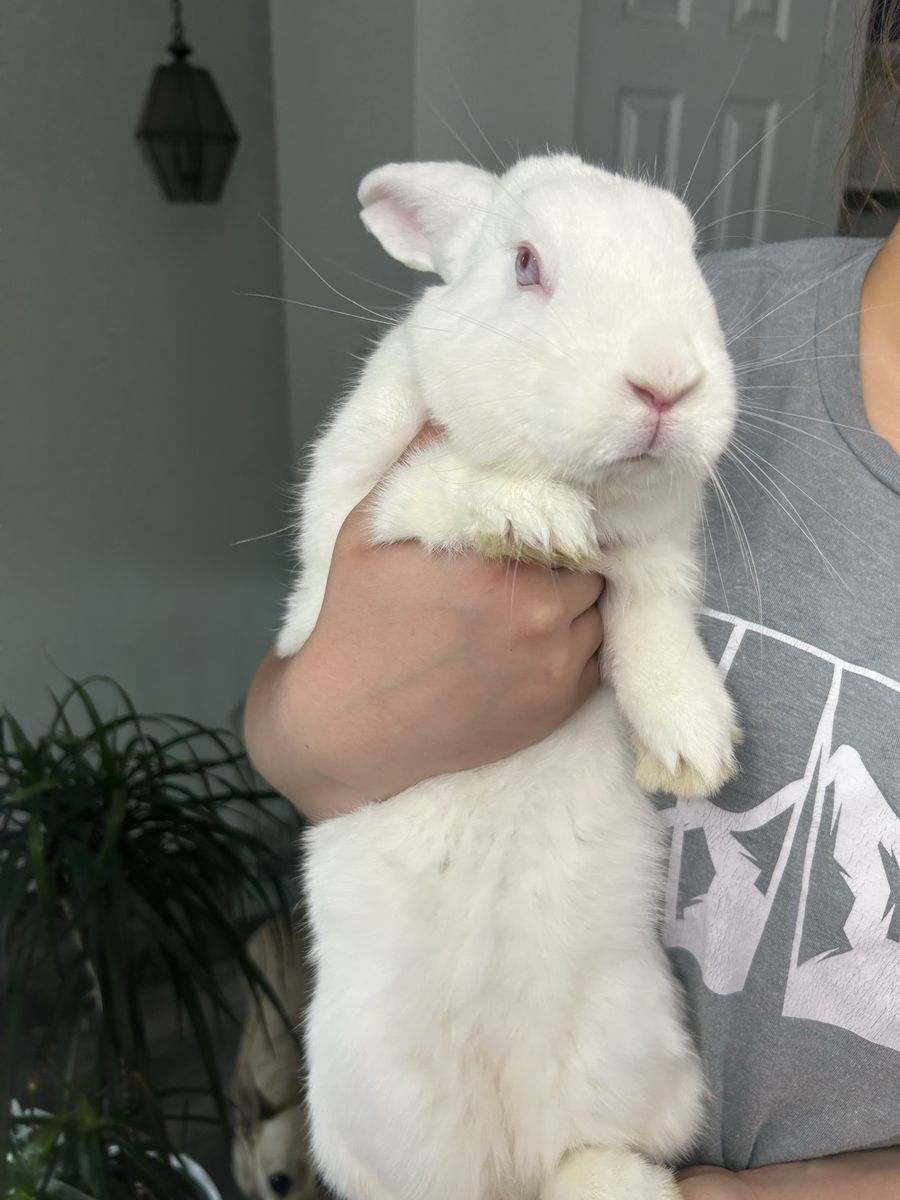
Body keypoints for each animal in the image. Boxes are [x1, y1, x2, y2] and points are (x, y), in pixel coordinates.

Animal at [276, 153, 740, 1200]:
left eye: (689, 255)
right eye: (526, 263)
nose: (667, 384)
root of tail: (511, 1144)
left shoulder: (656, 557)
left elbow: (651, 618)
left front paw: (693, 742)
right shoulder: (356, 512)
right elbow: (433, 485)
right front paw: (535, 518)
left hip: (636, 1051)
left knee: (592, 1149)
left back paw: (622, 1184)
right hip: (373, 1111)